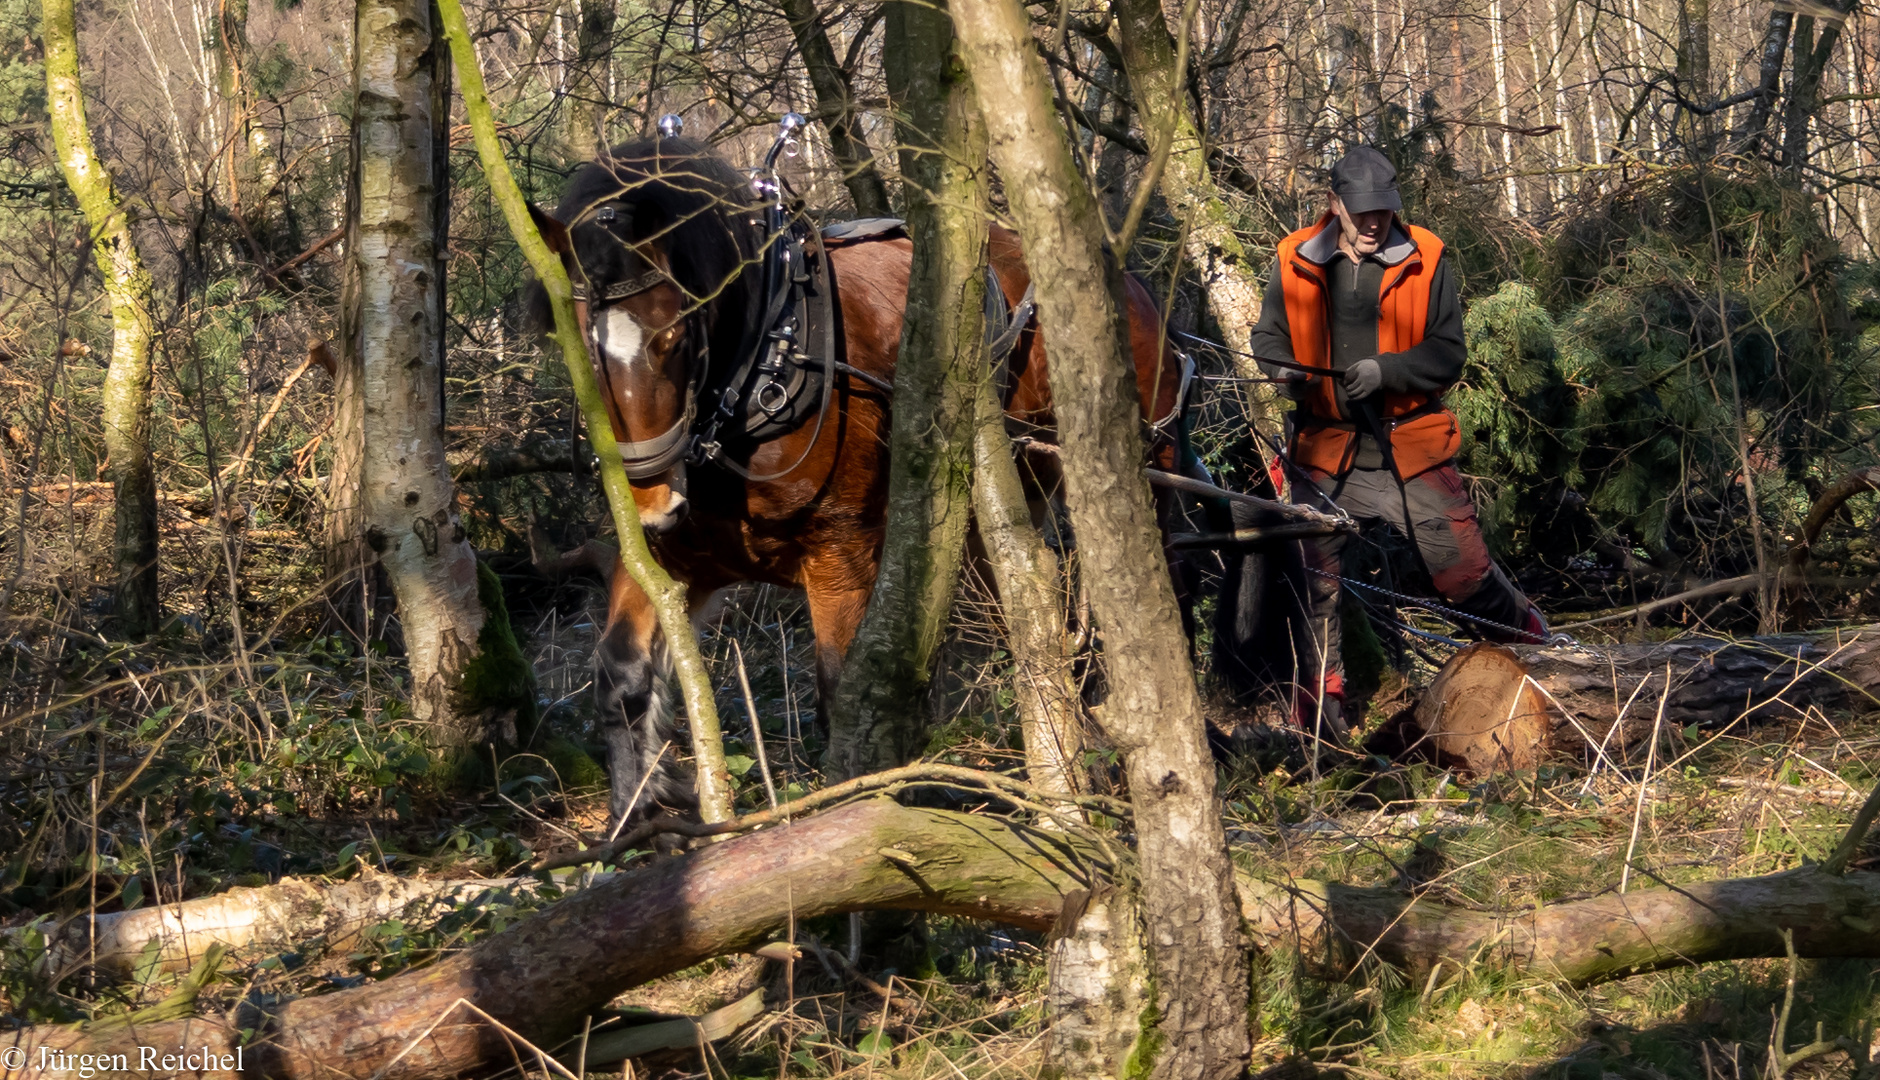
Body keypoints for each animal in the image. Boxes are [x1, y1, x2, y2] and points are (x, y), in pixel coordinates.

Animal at [530, 137, 1180, 827]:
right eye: (581, 347)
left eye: (675, 336)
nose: (649, 502)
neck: (765, 363)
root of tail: (1131, 284)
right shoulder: (676, 558)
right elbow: (621, 677)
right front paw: (636, 824)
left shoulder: (841, 556)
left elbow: (846, 703)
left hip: (1143, 472)